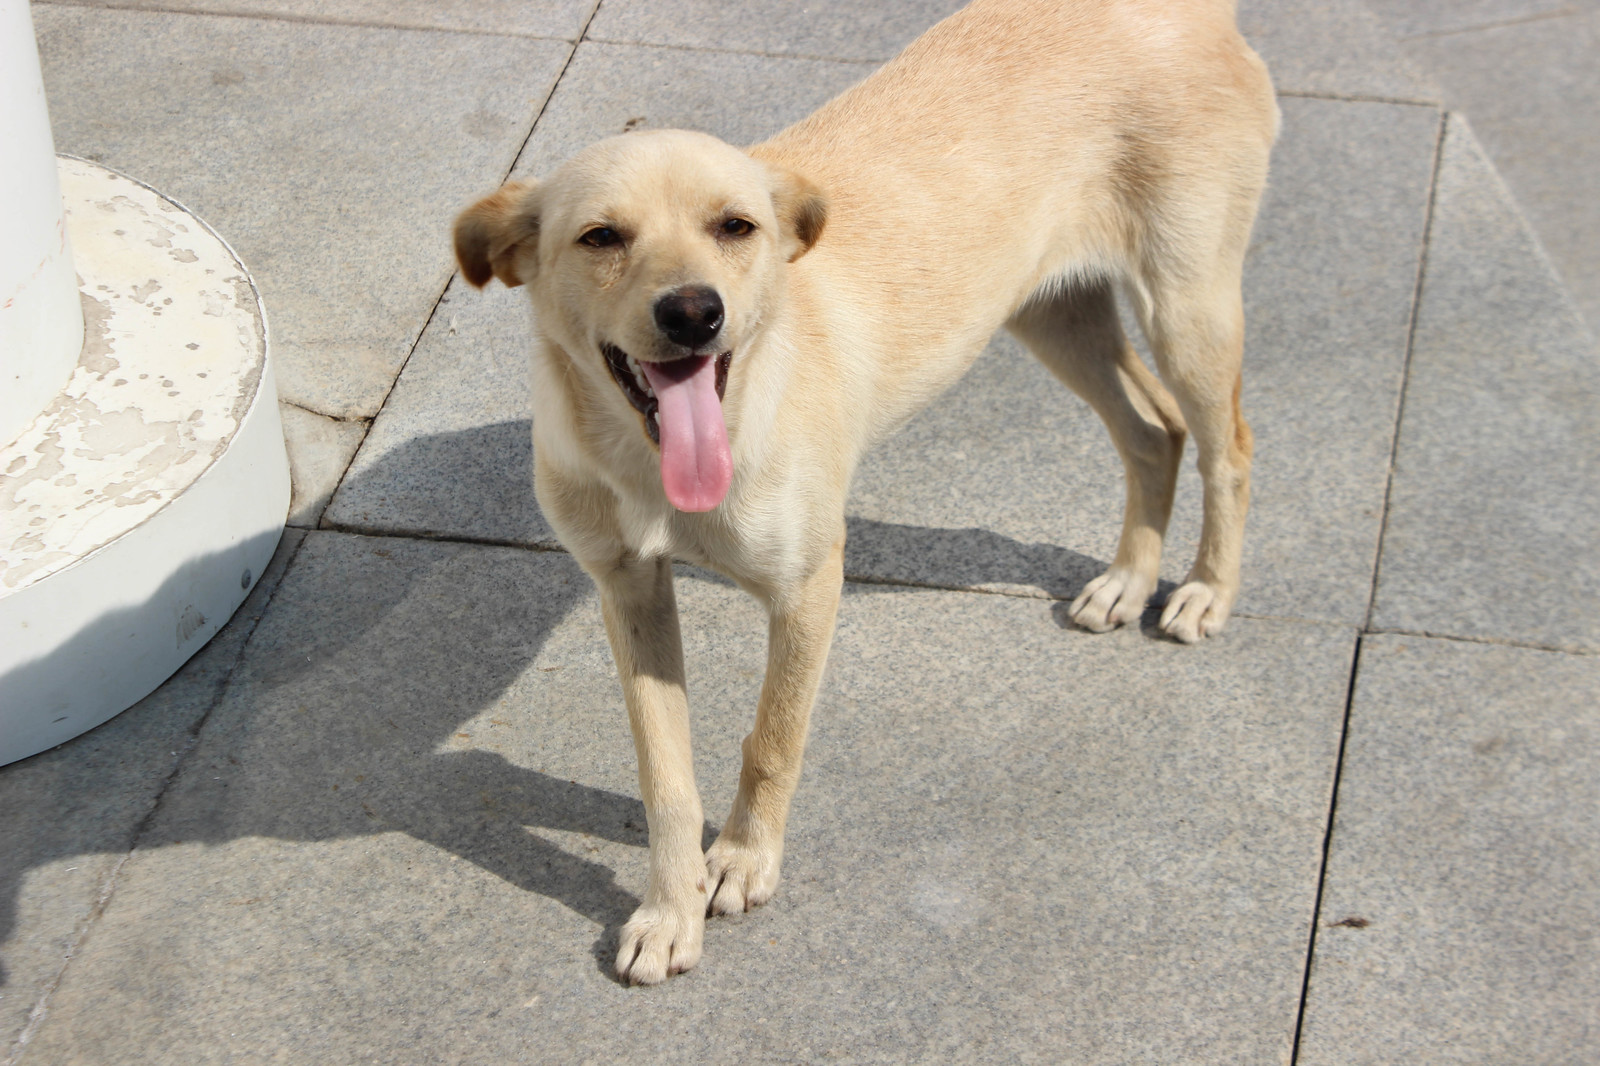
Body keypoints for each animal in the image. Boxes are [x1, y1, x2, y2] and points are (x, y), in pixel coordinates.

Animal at [457, 0, 1280, 979]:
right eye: (601, 237)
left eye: (737, 227)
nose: (695, 313)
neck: (654, 460)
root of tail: (1194, 10)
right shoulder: (629, 591)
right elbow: (666, 775)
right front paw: (668, 909)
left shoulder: (808, 586)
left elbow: (772, 740)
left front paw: (743, 860)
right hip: (1051, 308)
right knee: (1152, 431)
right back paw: (1128, 578)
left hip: (1188, 303)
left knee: (1228, 446)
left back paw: (1205, 589)